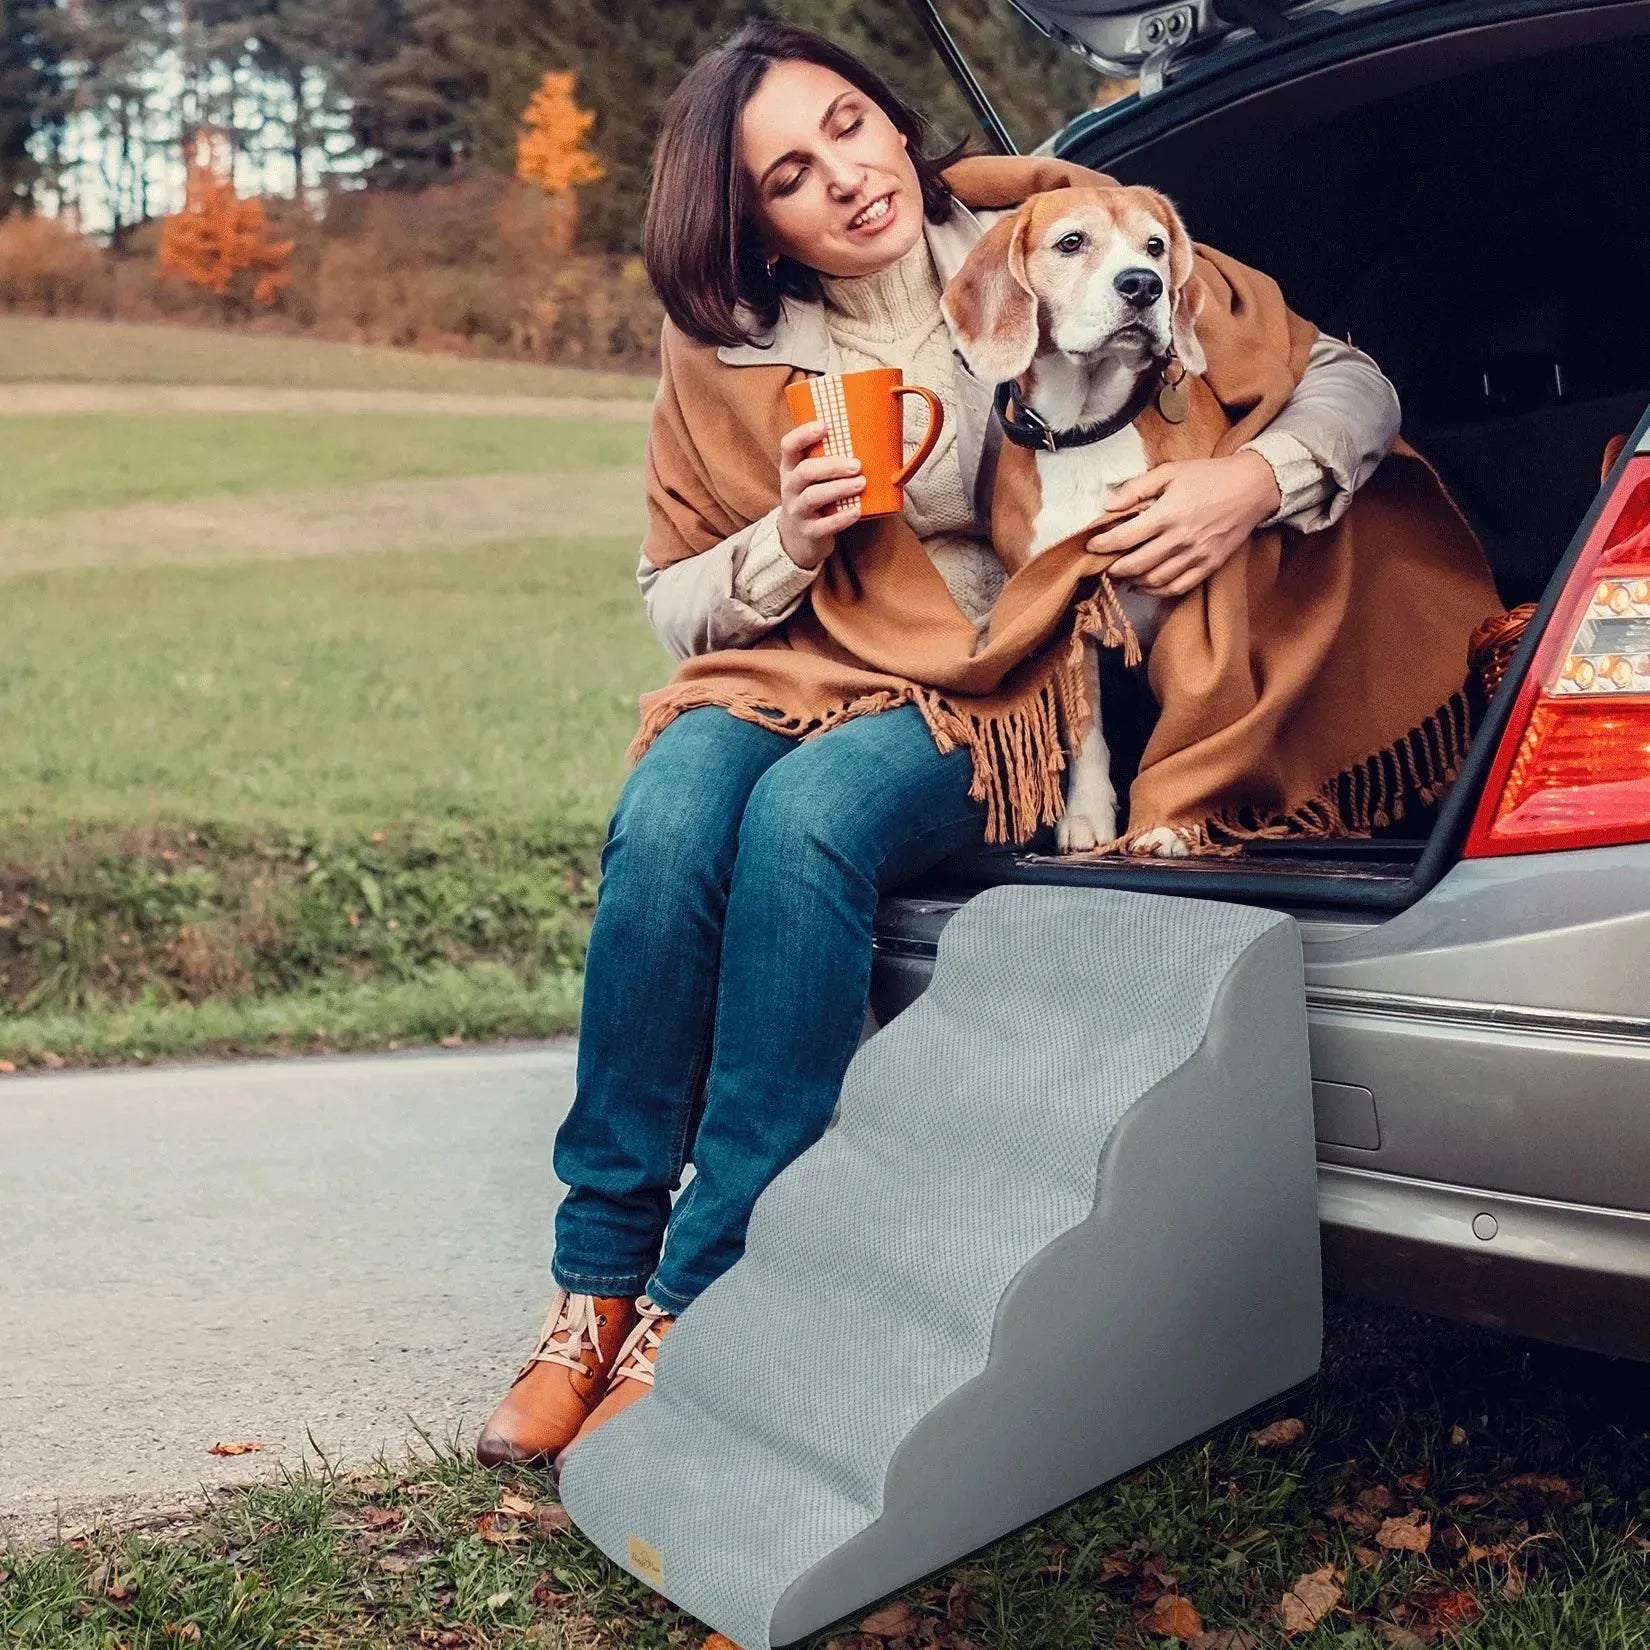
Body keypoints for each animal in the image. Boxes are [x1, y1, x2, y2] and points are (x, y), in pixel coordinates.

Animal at [943, 185, 1214, 858]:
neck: (1088, 426)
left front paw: (1171, 819)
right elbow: (1084, 730)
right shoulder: (1062, 608)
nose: (1144, 284)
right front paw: (1088, 816)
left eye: (1155, 246)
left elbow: (1201, 705)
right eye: (1071, 242)